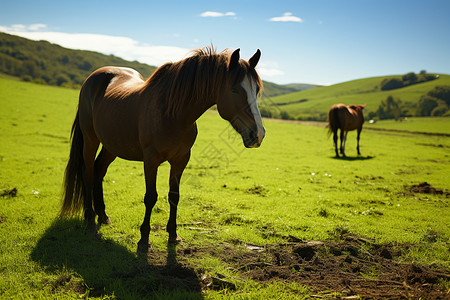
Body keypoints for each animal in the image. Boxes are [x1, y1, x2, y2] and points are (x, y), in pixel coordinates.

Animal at [59, 47, 264, 252]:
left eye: (256, 90)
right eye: (234, 89)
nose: (258, 134)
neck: (173, 113)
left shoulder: (181, 159)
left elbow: (174, 195)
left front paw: (173, 235)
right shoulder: (151, 160)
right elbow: (150, 197)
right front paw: (144, 240)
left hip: (112, 145)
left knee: (99, 171)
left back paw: (103, 216)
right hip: (90, 139)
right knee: (88, 172)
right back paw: (90, 221)